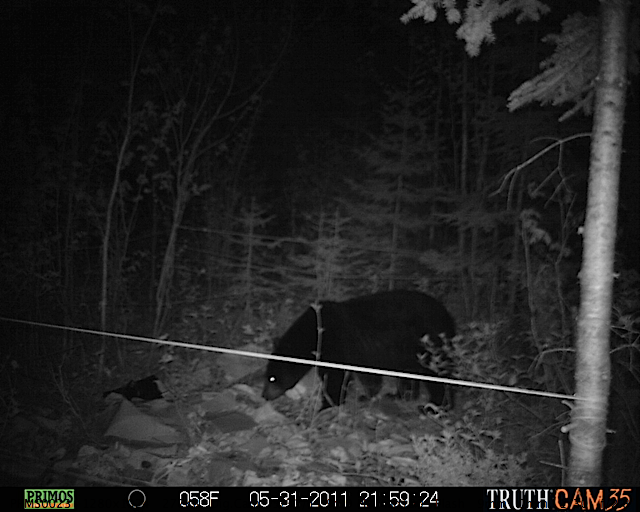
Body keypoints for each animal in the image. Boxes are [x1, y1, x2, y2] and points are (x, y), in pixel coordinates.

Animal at [262, 292, 456, 408]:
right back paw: (400, 396)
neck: (315, 332)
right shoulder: (362, 353)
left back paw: (435, 406)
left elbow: (335, 377)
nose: (264, 395)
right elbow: (368, 376)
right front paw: (368, 395)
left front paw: (328, 403)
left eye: (272, 378)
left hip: (430, 345)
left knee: (438, 376)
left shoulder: (337, 345)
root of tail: (448, 317)